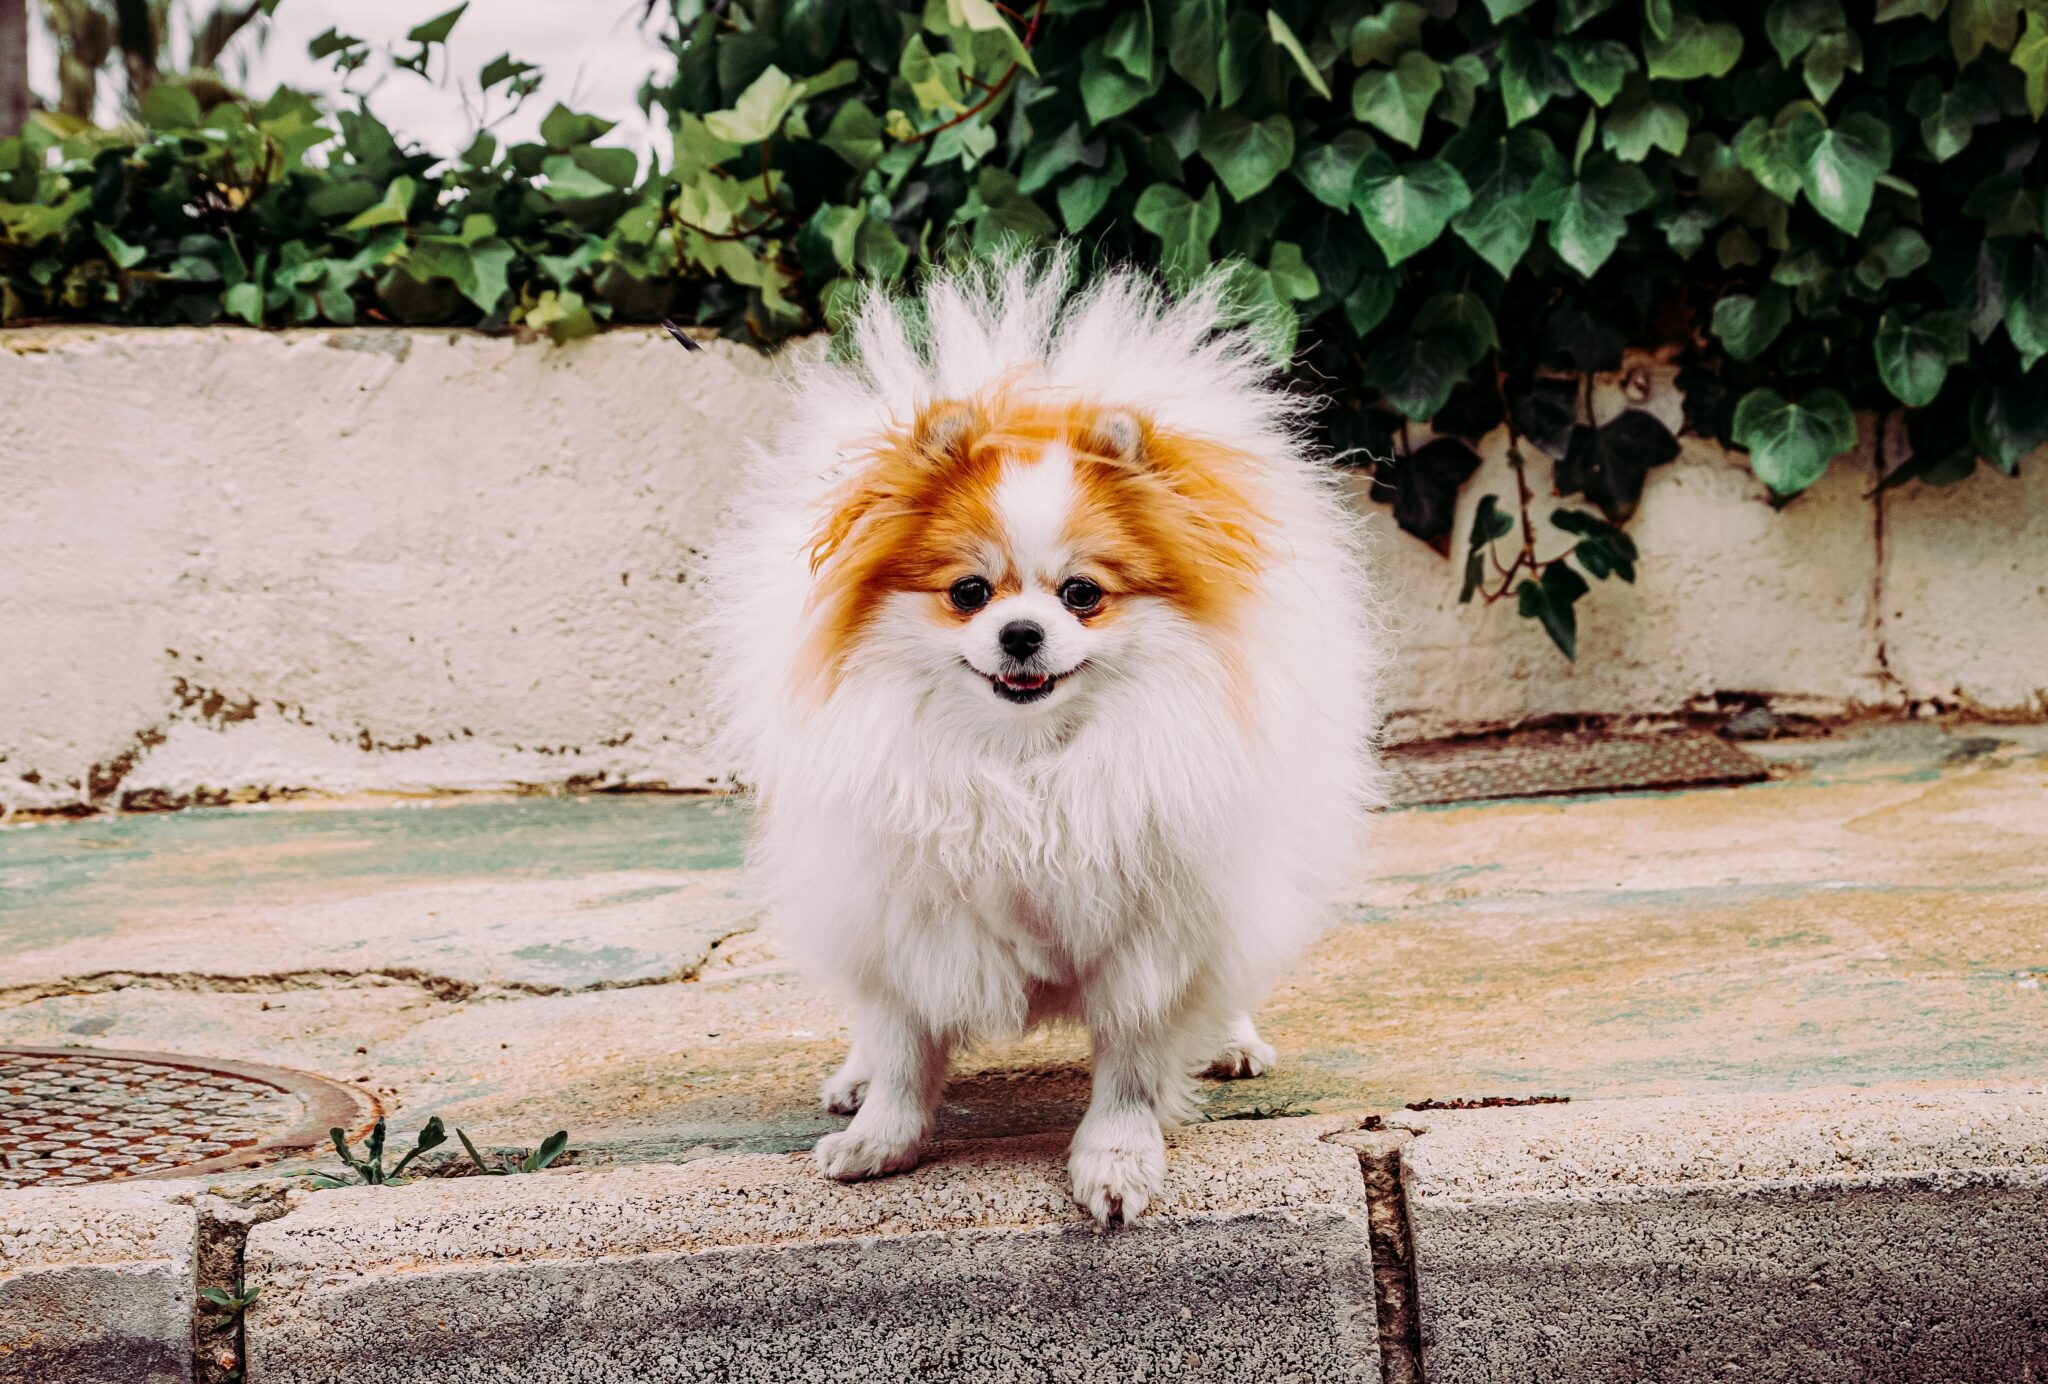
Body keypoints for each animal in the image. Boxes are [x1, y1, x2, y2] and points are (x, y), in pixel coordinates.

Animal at [712, 251, 1384, 1220]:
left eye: (1082, 594)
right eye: (968, 593)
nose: (1022, 633)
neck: (1026, 763)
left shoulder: (1152, 932)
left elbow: (1133, 1064)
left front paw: (1117, 1159)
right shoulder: (910, 915)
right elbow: (906, 1044)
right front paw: (882, 1135)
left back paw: (1230, 1038)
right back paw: (854, 1074)